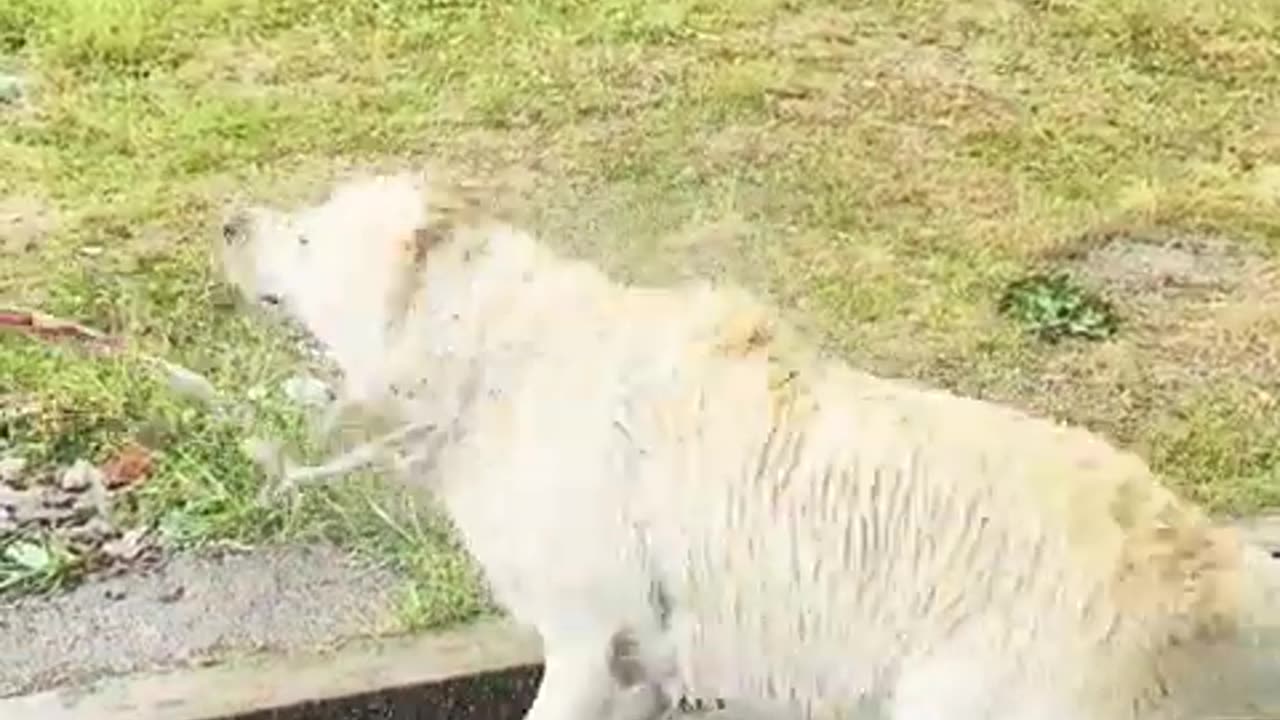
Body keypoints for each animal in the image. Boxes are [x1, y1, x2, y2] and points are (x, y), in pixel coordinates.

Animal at [215, 169, 1274, 717]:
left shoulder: (583, 639)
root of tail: (1216, 568)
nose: (226, 222)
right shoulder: (640, 655)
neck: (490, 357)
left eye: (307, 236)